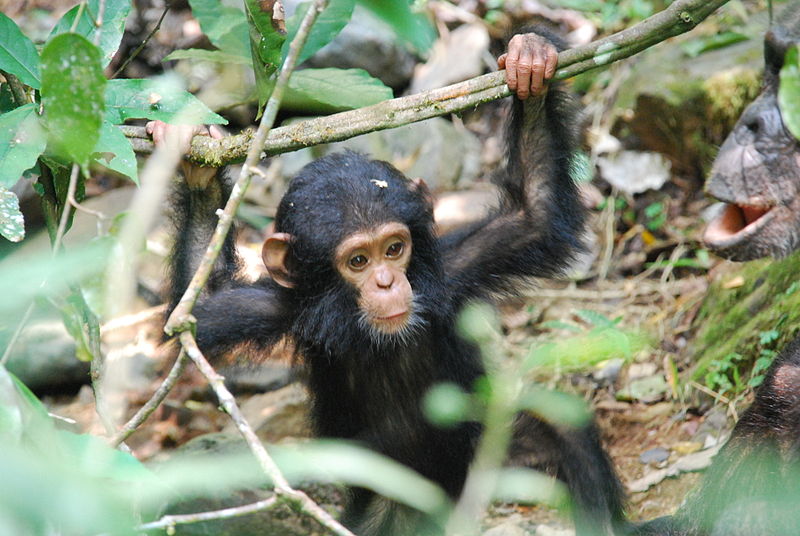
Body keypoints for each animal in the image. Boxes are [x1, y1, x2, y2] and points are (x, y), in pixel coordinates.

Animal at [158, 28, 624, 536]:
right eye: (358, 260)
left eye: (395, 249)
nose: (385, 282)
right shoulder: (279, 309)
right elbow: (201, 306)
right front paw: (196, 167)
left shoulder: (455, 270)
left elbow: (534, 216)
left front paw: (530, 65)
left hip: (496, 447)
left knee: (565, 435)